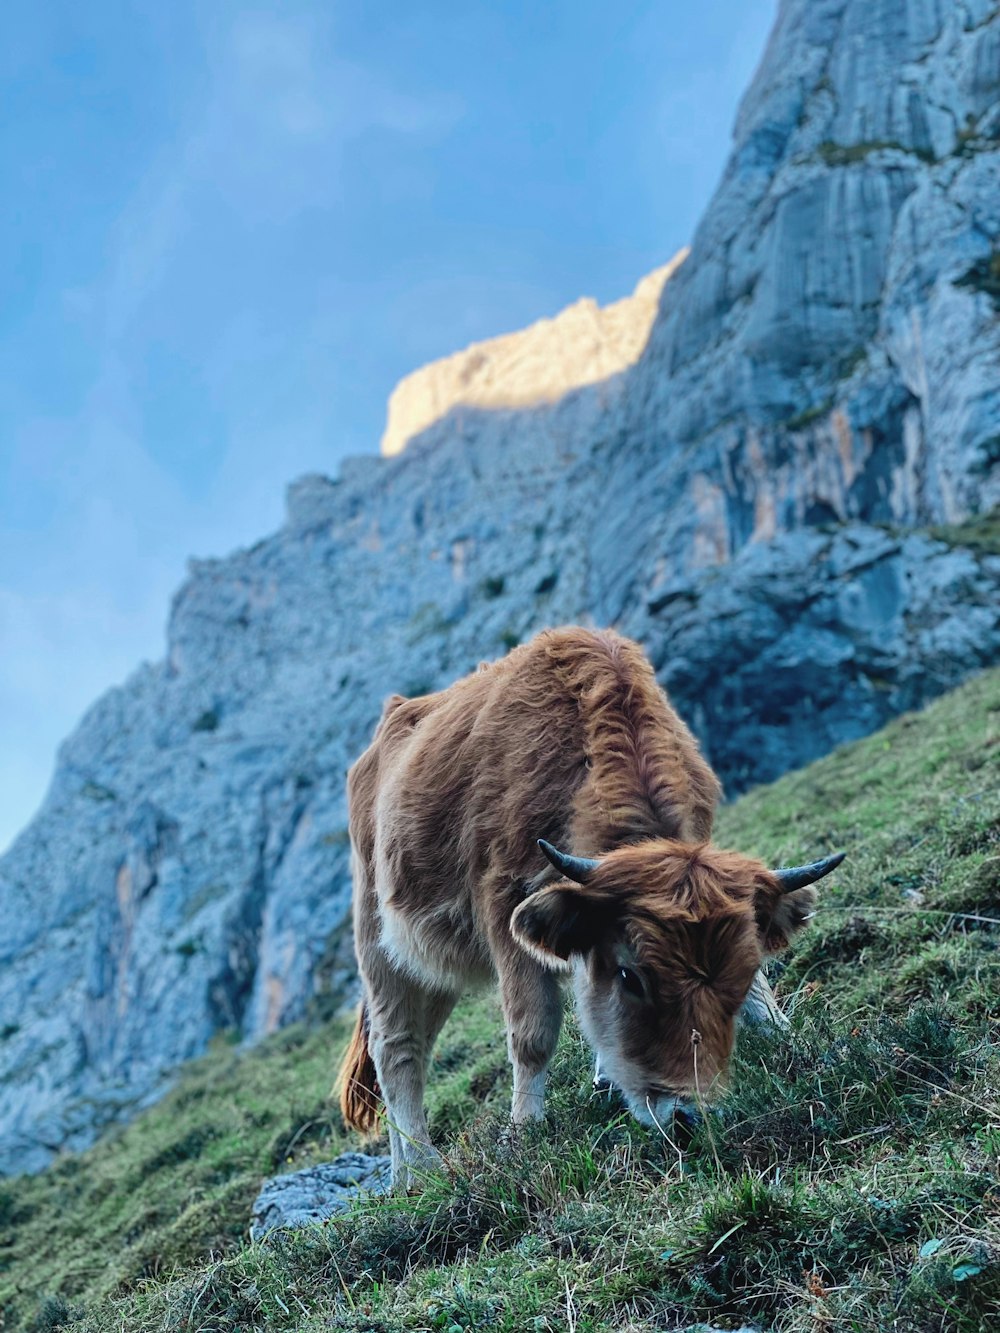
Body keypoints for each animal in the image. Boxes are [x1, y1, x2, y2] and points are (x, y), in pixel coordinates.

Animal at [338, 623, 848, 1189]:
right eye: (631, 976)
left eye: (734, 978)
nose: (689, 1116)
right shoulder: (504, 903)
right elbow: (533, 1030)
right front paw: (523, 1132)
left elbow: (759, 993)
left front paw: (794, 1042)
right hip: (380, 942)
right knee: (396, 1046)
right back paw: (420, 1171)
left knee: (417, 1046)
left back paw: (404, 1171)